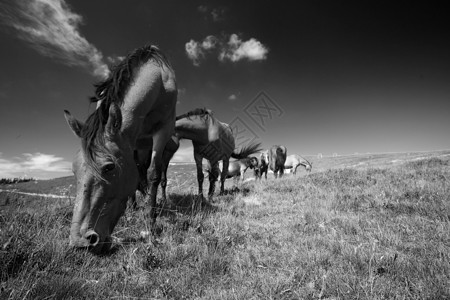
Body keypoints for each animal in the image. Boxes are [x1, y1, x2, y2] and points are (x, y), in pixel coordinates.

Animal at [64, 45, 177, 253]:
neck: (158, 79)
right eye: (74, 170)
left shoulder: (164, 130)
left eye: (109, 167)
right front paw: (135, 210)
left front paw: (151, 224)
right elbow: (138, 178)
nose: (81, 241)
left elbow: (153, 175)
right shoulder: (131, 142)